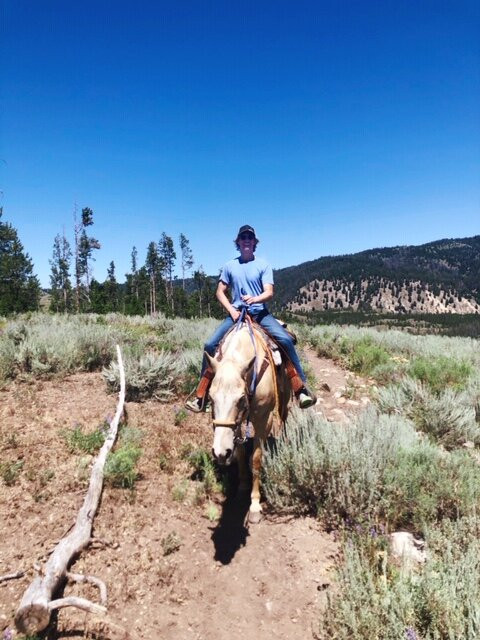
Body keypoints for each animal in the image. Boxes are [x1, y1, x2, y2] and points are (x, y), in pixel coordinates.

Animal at [204, 320, 290, 524]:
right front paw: (243, 486)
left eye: (241, 398)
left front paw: (255, 505)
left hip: (286, 396)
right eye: (210, 398)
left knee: (284, 417)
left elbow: (256, 459)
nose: (219, 453)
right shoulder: (236, 423)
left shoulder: (263, 419)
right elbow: (241, 452)